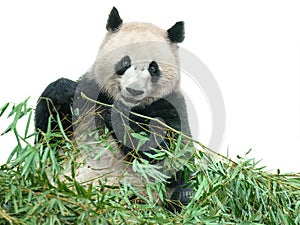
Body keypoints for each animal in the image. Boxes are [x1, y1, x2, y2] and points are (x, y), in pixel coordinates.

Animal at [35, 6, 193, 212]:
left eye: (153, 68)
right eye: (125, 62)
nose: (134, 90)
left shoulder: (170, 105)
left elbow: (169, 154)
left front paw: (116, 116)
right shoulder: (88, 96)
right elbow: (49, 140)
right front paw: (62, 89)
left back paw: (184, 196)